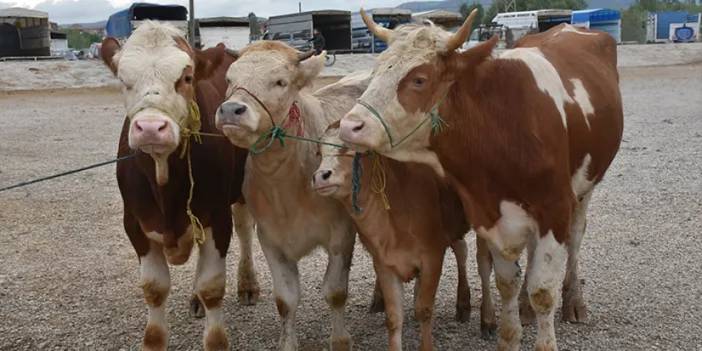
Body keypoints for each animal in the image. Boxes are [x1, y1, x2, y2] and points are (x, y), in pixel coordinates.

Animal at [100, 22, 260, 351]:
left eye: (186, 78)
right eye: (123, 80)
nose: (150, 128)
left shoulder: (217, 216)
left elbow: (213, 287)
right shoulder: (134, 223)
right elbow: (154, 288)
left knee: (245, 229)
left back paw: (248, 284)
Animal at [216, 42, 372, 351]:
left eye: (280, 82)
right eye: (229, 79)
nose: (230, 110)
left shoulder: (342, 233)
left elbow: (335, 291)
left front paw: (340, 340)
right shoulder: (270, 238)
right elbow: (286, 299)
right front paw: (287, 343)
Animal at [310, 125, 498, 350]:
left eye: (350, 147)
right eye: (319, 152)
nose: (320, 176)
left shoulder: (432, 257)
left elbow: (424, 310)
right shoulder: (384, 264)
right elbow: (393, 318)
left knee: (484, 265)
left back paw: (488, 320)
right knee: (462, 250)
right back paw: (463, 304)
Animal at [338, 9, 624, 351]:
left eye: (419, 79)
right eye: (376, 71)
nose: (349, 126)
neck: (501, 127)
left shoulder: (554, 210)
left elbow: (543, 292)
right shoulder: (492, 215)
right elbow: (507, 284)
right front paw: (511, 332)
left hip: (584, 188)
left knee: (576, 239)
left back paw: (574, 302)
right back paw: (526, 309)